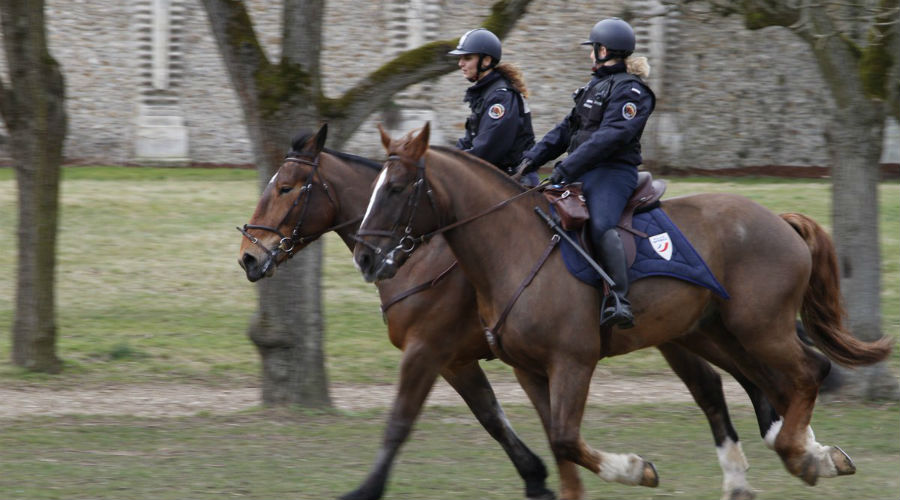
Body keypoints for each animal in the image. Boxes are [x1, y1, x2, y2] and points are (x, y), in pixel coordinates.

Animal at [237, 124, 788, 500]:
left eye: (286, 188)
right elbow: (494, 418)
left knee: (745, 380)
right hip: (689, 332)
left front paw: (365, 490)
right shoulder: (461, 361)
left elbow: (400, 423)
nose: (248, 257)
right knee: (725, 385)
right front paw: (538, 478)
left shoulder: (430, 351)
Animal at [354, 123, 892, 498]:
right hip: (713, 332)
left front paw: (636, 470)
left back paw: (802, 456)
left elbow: (565, 439)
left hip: (759, 329)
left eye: (396, 189)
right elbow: (557, 442)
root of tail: (777, 220)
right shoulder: (528, 369)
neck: (512, 249)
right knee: (762, 384)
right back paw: (803, 457)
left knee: (806, 372)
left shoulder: (568, 362)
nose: (365, 256)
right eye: (374, 187)